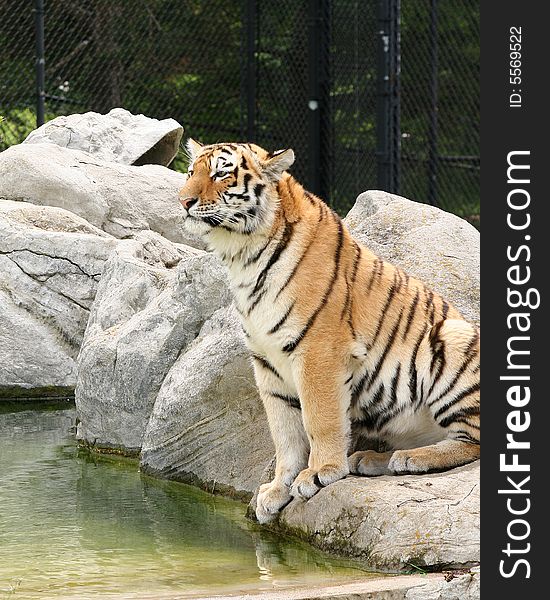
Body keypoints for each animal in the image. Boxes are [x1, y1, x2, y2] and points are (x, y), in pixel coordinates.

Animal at [179, 138, 480, 524]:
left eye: (221, 173)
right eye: (191, 172)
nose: (183, 201)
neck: (243, 254)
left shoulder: (318, 351)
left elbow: (319, 419)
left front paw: (321, 472)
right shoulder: (267, 362)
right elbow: (285, 433)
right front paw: (276, 491)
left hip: (453, 336)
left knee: (473, 439)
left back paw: (411, 459)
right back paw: (372, 459)